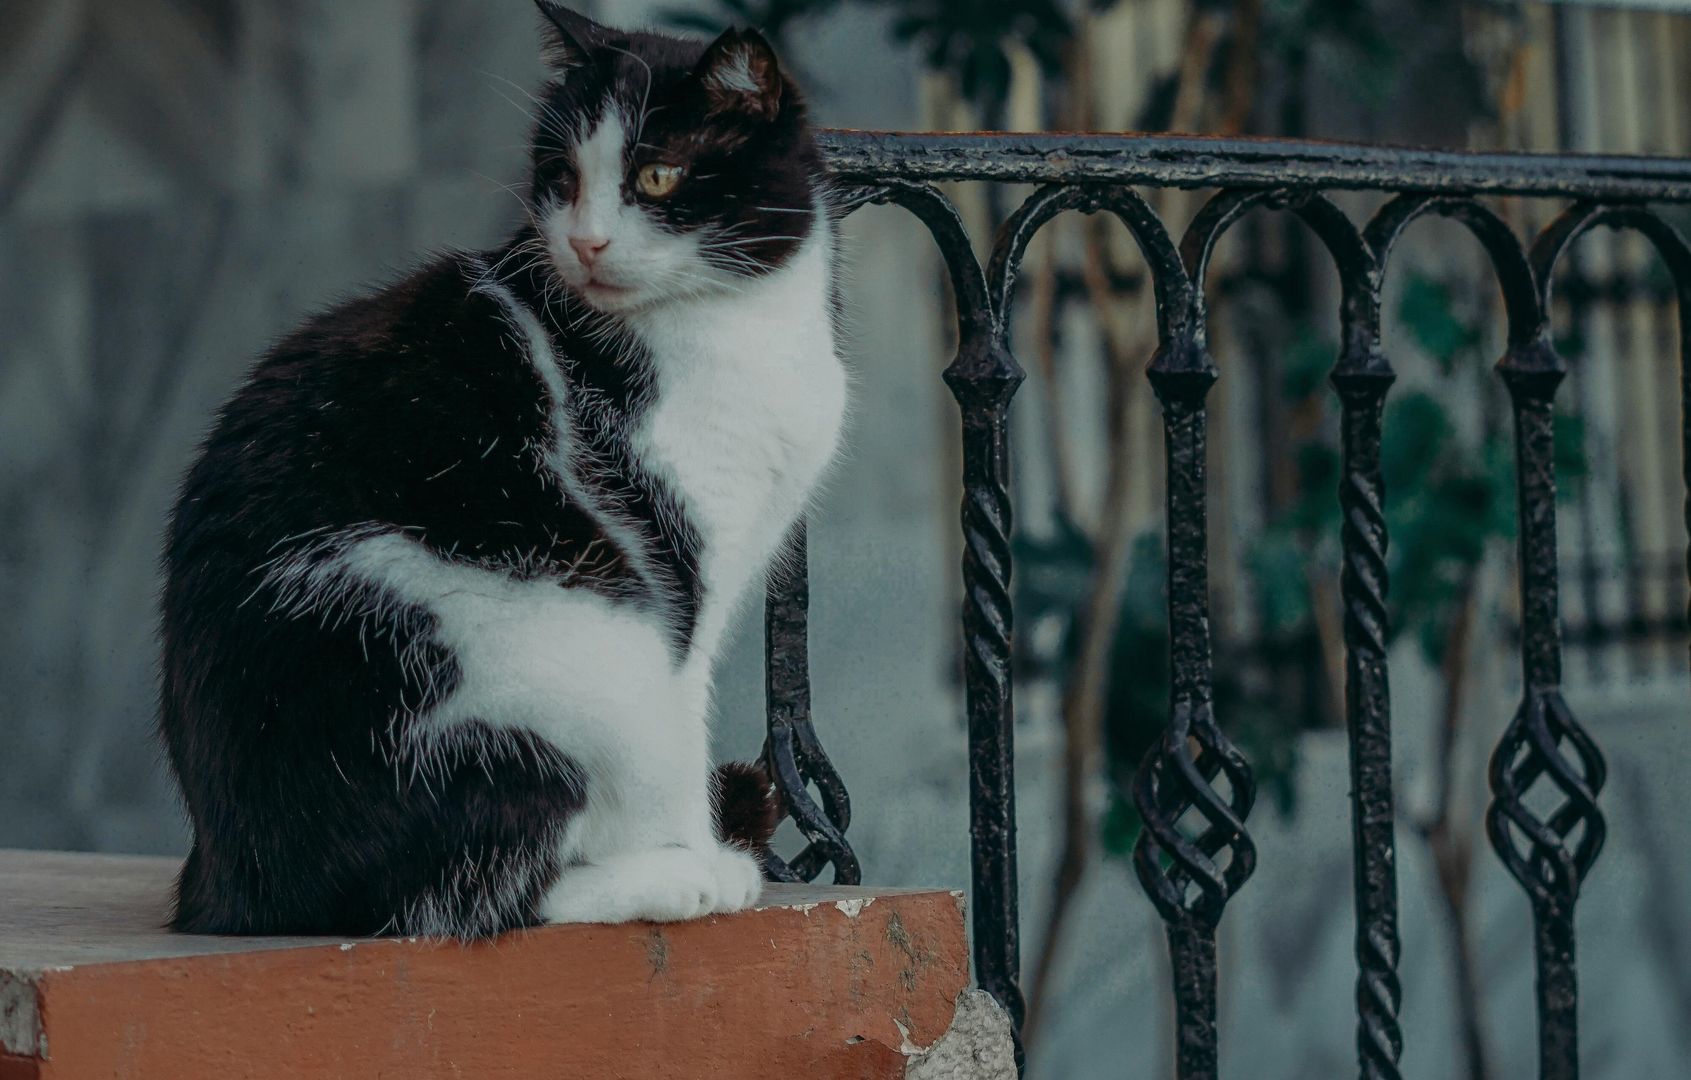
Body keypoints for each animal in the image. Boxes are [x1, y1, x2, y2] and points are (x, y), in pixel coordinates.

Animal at [158, 4, 845, 939]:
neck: (742, 323)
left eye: (658, 176)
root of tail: (232, 887)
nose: (586, 241)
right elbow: (684, 720)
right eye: (562, 175)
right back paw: (670, 878)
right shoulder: (673, 568)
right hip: (568, 648)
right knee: (460, 896)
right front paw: (699, 855)